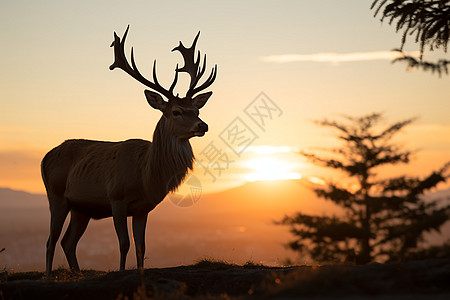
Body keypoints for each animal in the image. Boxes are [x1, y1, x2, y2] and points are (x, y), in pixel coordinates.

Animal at [41, 26, 217, 276]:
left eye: (196, 110)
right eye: (176, 111)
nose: (203, 126)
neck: (146, 175)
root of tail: (45, 157)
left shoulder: (143, 208)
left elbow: (141, 246)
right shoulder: (116, 198)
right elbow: (124, 243)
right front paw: (122, 271)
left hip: (81, 208)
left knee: (68, 242)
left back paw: (78, 274)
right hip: (55, 195)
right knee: (51, 241)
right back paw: (48, 276)